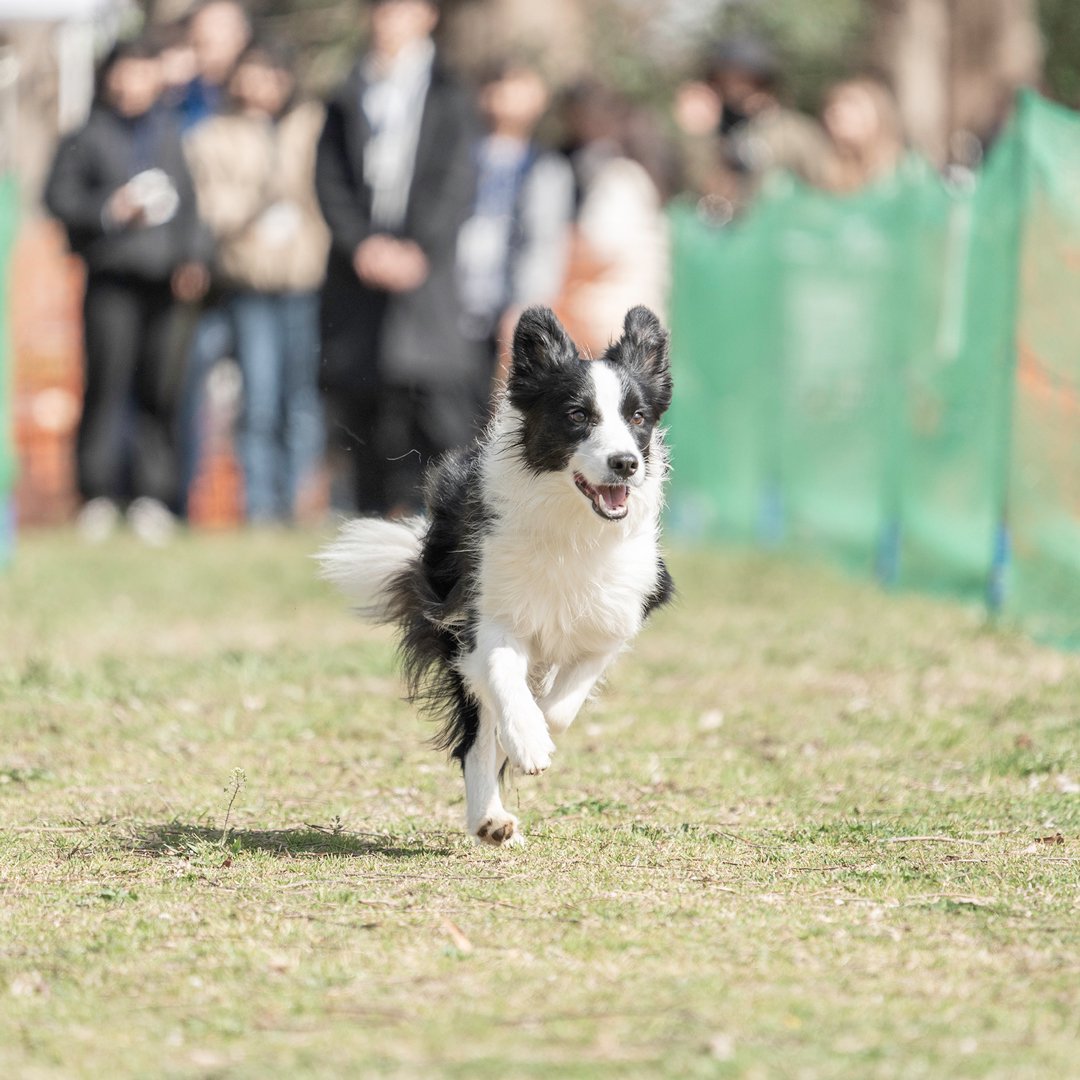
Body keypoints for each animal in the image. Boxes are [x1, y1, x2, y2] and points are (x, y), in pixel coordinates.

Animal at [319, 304, 673, 842]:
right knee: (475, 734)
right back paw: (489, 816)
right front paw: (527, 739)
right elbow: (503, 676)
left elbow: (567, 700)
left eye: (638, 418)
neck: (572, 523)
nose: (626, 463)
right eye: (577, 415)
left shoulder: (620, 613)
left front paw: (539, 726)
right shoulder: (484, 609)